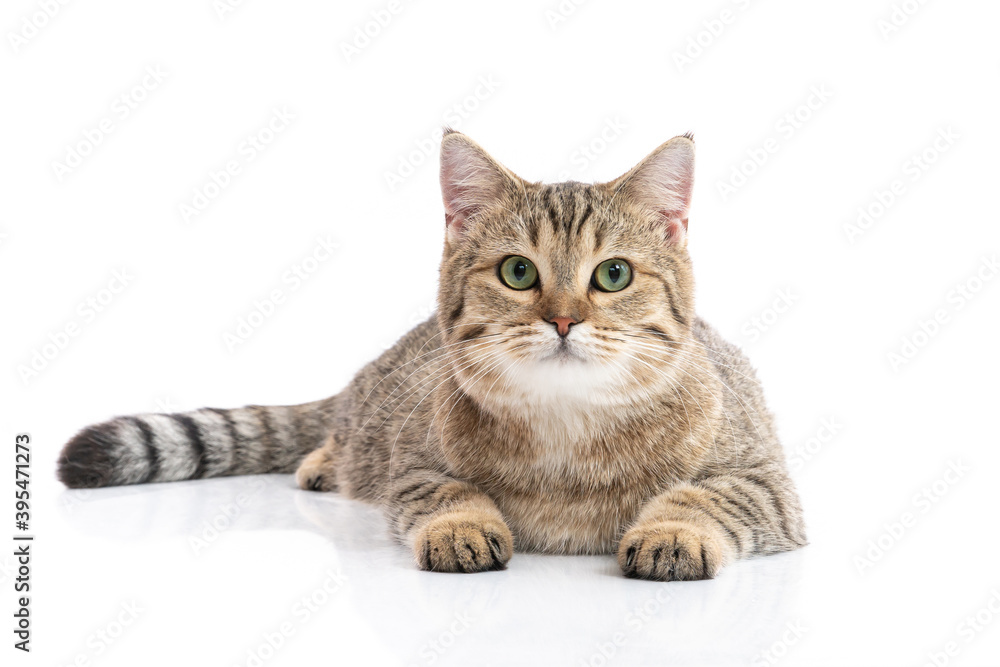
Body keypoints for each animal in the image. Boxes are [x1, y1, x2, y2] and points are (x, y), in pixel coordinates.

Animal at [58, 130, 804, 580]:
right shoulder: (414, 462)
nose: (563, 318)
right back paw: (323, 462)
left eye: (613, 275)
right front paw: (461, 524)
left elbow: (709, 496)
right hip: (371, 419)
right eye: (518, 273)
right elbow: (445, 489)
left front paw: (673, 530)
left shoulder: (767, 480)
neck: (568, 428)